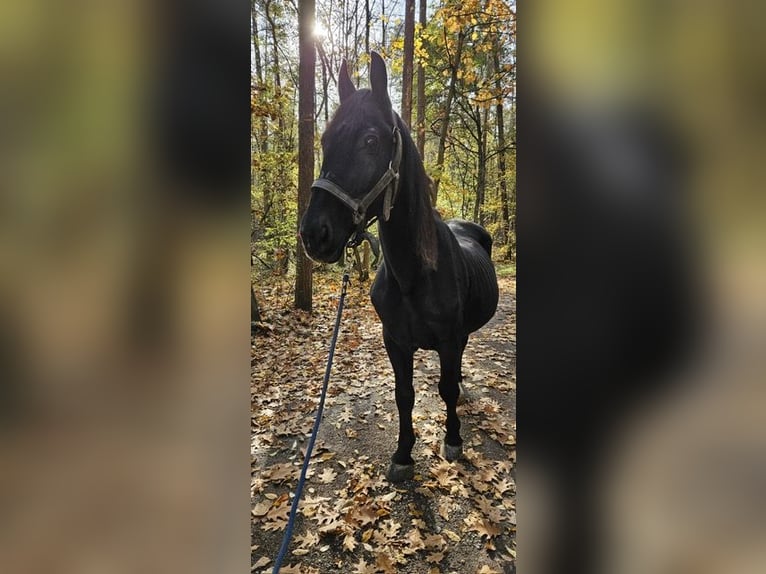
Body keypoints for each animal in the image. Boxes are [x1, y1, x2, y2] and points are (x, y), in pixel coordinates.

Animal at [300, 53, 498, 482]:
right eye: (324, 141)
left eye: (371, 141)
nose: (313, 234)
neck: (414, 275)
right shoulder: (394, 340)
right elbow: (404, 395)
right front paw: (404, 454)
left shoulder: (448, 339)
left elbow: (444, 390)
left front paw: (453, 438)